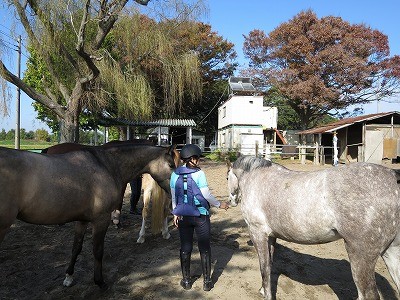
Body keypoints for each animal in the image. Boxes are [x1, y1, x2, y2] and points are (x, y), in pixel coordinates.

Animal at [0, 144, 178, 290]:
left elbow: (76, 248)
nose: (174, 191)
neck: (109, 166)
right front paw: (100, 282)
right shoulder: (101, 220)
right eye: (171, 165)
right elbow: (97, 250)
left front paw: (69, 277)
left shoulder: (82, 220)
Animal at [228, 156, 400, 298]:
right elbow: (269, 265)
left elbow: (264, 267)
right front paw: (264, 290)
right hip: (391, 252)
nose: (231, 201)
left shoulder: (258, 233)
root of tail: (393, 175)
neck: (256, 178)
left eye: (227, 176)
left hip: (361, 255)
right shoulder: (271, 236)